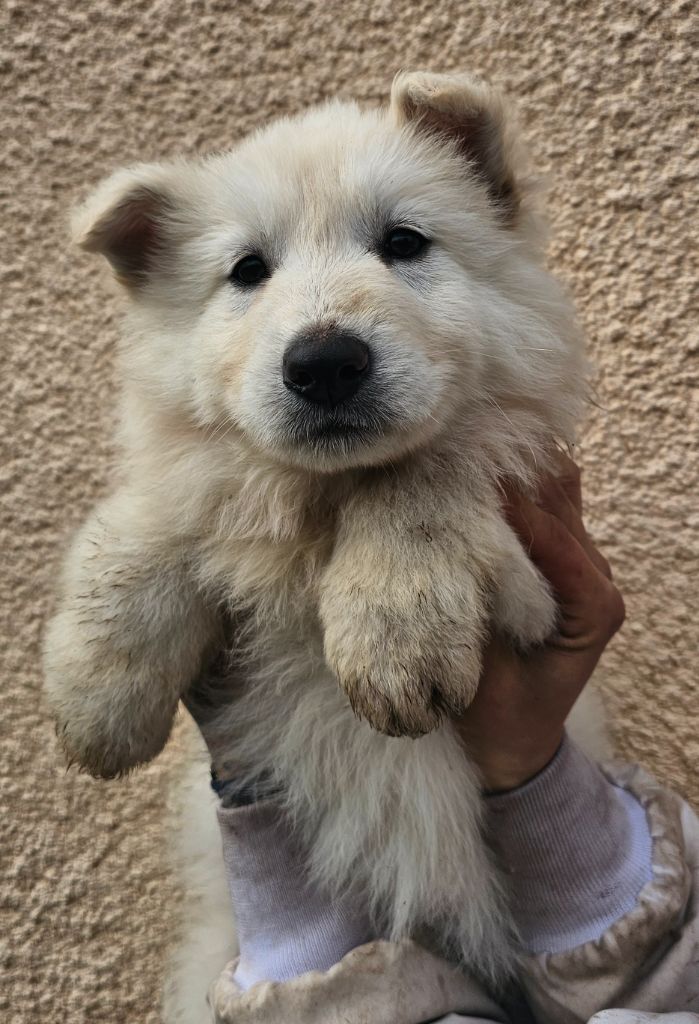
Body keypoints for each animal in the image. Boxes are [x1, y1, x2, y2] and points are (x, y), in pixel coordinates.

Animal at [43, 74, 589, 999]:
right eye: (246, 272)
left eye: (403, 243)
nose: (324, 362)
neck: (316, 499)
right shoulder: (206, 474)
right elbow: (164, 514)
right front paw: (98, 695)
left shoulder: (529, 576)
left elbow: (420, 471)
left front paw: (395, 633)